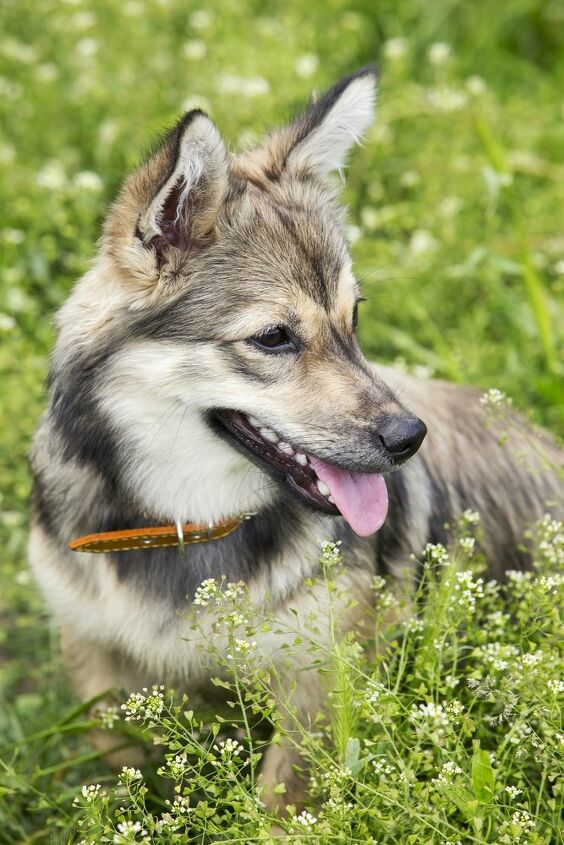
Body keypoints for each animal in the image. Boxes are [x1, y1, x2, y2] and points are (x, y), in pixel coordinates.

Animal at [29, 67, 560, 804]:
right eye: (274, 337)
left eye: (353, 317)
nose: (410, 437)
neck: (188, 521)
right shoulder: (92, 658)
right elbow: (120, 765)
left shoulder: (318, 683)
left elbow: (282, 801)